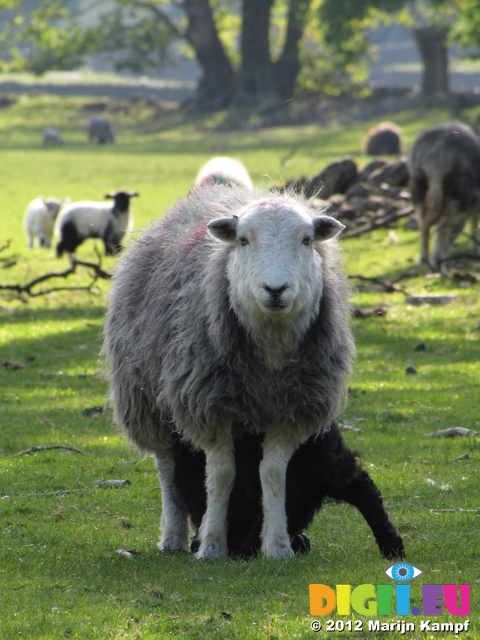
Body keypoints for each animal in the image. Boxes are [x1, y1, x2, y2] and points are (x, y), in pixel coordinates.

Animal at [103, 184, 354, 560]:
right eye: (243, 240)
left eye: (307, 240)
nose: (275, 289)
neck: (271, 353)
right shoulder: (208, 405)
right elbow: (221, 474)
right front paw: (211, 545)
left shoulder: (293, 411)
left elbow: (272, 473)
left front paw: (278, 546)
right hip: (145, 400)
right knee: (167, 467)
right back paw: (173, 537)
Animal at [408, 120, 480, 268]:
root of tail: (437, 157)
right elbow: (473, 222)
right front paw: (474, 249)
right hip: (457, 191)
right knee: (444, 225)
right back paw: (439, 259)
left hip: (419, 187)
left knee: (423, 224)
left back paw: (424, 259)